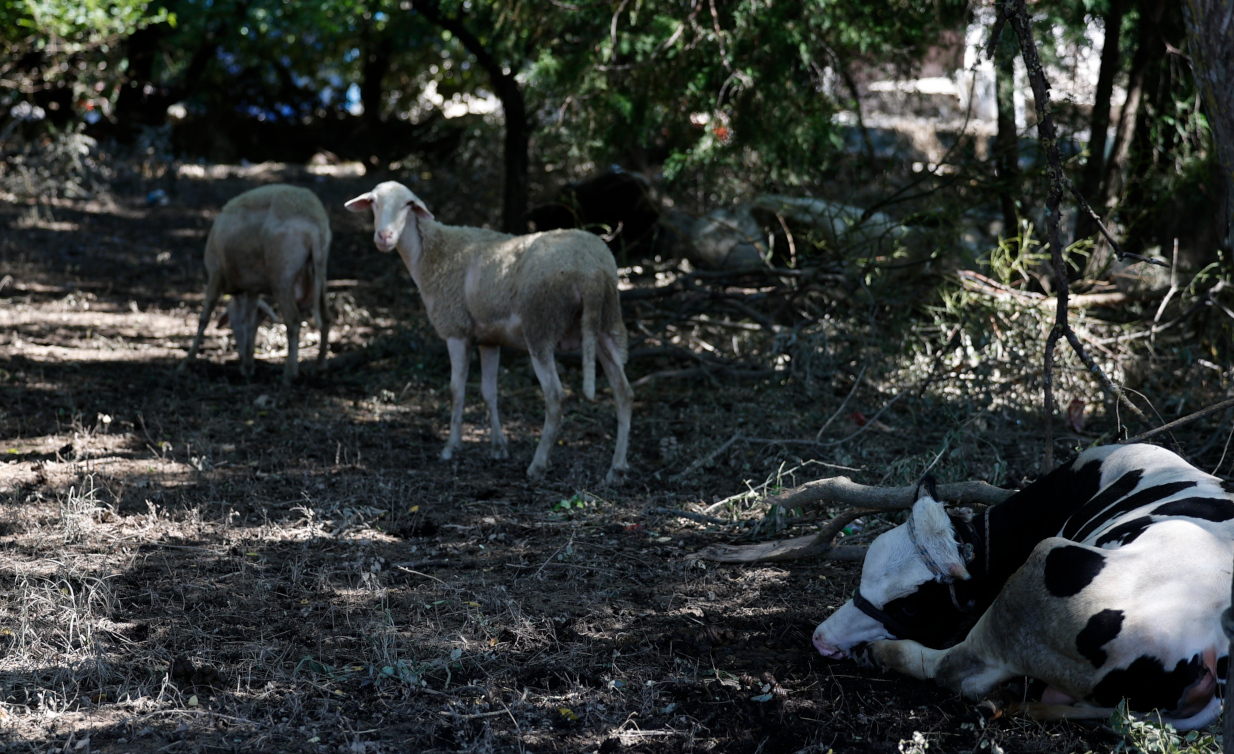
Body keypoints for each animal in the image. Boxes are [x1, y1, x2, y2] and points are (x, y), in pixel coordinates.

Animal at [178, 182, 333, 382]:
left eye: (231, 322)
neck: (239, 292)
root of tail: (315, 224)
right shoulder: (253, 288)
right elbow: (248, 322)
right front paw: (248, 365)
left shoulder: (215, 274)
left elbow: (204, 319)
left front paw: (187, 362)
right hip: (320, 272)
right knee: (326, 317)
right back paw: (320, 366)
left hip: (281, 274)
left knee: (293, 319)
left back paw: (289, 373)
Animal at [347, 180, 636, 481]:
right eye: (374, 202)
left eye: (407, 205)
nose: (384, 236)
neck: (432, 255)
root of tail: (592, 272)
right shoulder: (489, 339)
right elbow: (490, 392)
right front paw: (498, 447)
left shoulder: (456, 329)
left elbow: (456, 390)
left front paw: (451, 448)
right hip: (607, 324)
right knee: (624, 393)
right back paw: (617, 467)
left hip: (542, 325)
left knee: (556, 397)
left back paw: (538, 464)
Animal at [809, 444, 1234, 730]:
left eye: (910, 608)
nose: (821, 639)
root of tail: (1209, 648)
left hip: (1039, 575)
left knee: (958, 671)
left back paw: (881, 654)